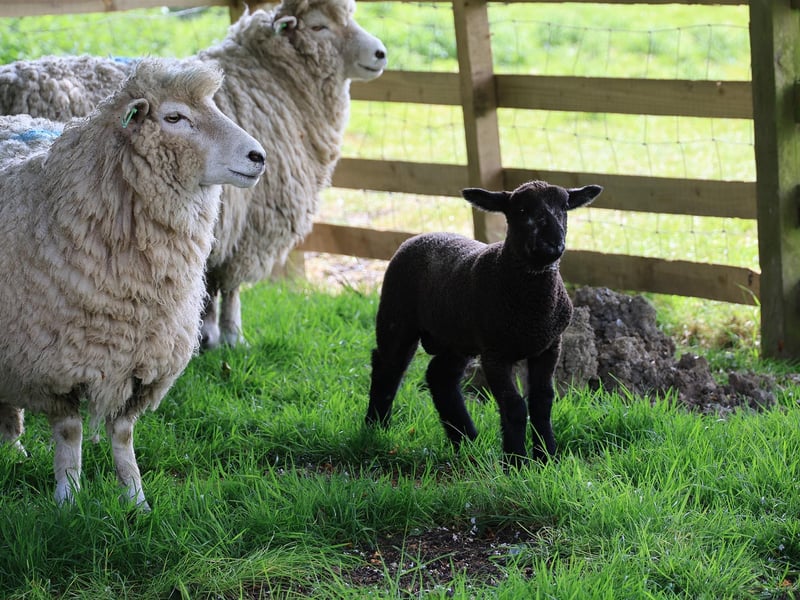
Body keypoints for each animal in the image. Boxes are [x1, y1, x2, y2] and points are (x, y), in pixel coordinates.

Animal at [0, 0, 388, 349]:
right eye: (320, 26)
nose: (381, 53)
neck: (276, 79)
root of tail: (11, 81)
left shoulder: (221, 223)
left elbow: (210, 285)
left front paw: (208, 335)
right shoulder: (250, 223)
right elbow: (229, 285)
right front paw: (232, 338)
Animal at [0, 57, 267, 508]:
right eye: (174, 117)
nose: (259, 156)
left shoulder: (142, 360)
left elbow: (123, 436)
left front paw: (137, 501)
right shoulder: (52, 363)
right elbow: (69, 433)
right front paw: (68, 500)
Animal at [365, 180, 602, 463]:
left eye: (564, 207)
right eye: (521, 210)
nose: (552, 245)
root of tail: (417, 237)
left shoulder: (549, 346)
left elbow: (542, 401)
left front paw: (547, 457)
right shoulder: (495, 353)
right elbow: (514, 405)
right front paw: (517, 461)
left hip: (458, 338)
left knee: (440, 376)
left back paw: (466, 439)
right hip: (396, 317)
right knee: (387, 367)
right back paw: (376, 427)